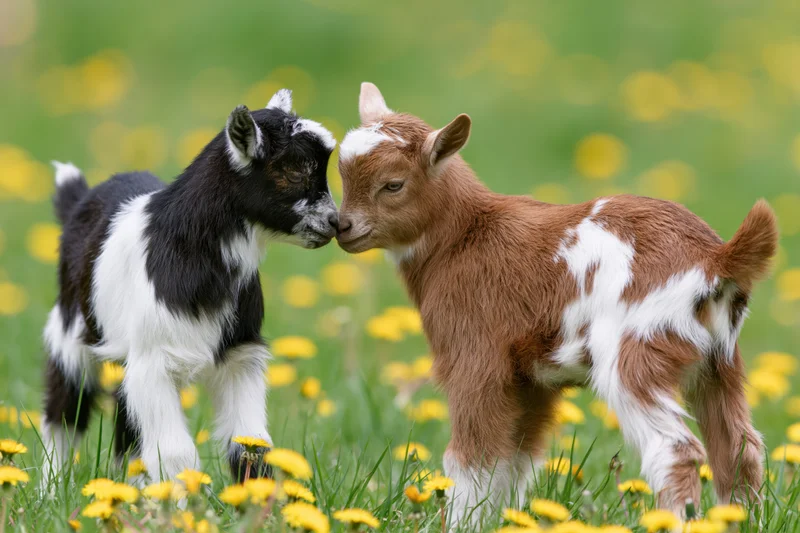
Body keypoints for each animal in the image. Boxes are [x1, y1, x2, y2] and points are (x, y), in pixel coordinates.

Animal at [41, 89, 338, 489]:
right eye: (293, 169)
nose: (335, 222)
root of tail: (80, 200)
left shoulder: (240, 355)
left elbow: (251, 444)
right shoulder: (154, 361)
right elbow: (175, 452)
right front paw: (181, 498)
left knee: (125, 415)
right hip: (70, 327)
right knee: (65, 409)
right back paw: (50, 488)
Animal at [335, 82, 777, 525]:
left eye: (393, 184)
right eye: (340, 174)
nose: (343, 227)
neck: (466, 237)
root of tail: (714, 259)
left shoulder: (476, 356)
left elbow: (472, 459)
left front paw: (464, 523)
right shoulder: (530, 379)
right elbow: (514, 460)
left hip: (635, 350)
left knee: (676, 450)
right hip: (719, 362)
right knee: (740, 451)